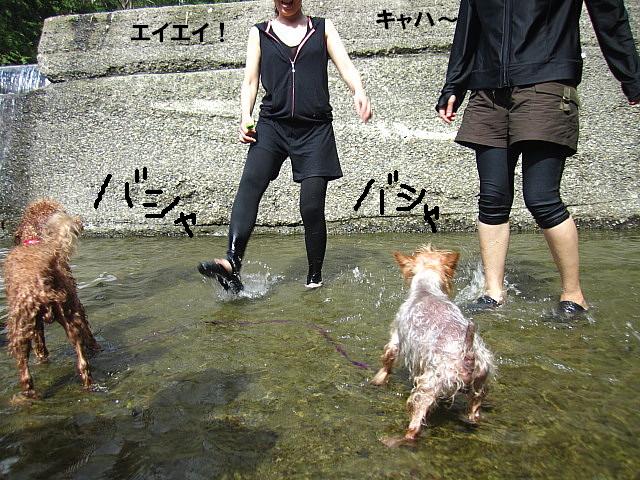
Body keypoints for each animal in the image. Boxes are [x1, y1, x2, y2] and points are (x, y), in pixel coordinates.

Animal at [3, 200, 100, 399]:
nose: (80, 223)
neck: (33, 239)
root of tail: (40, 280)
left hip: (23, 328)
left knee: (27, 375)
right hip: (68, 317)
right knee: (82, 363)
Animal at [371, 245, 494, 446]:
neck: (426, 289)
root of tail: (467, 356)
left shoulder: (396, 338)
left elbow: (387, 360)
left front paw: (378, 380)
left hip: (428, 386)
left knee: (414, 426)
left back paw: (396, 439)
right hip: (479, 382)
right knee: (474, 409)